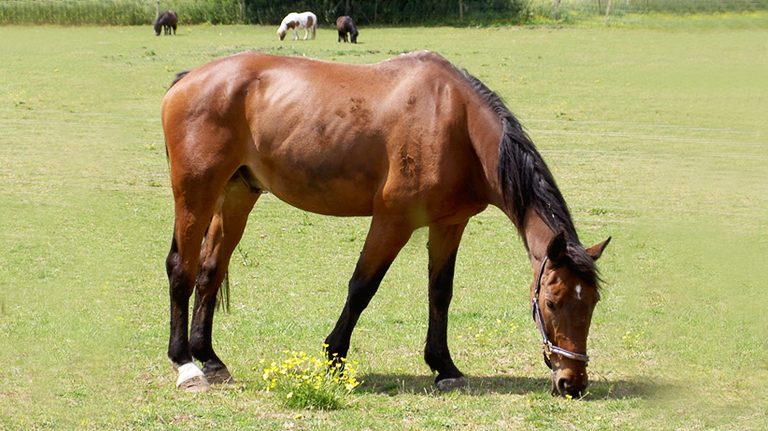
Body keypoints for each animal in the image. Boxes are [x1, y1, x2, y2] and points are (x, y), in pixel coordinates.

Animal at [161, 50, 611, 397]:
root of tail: (187, 80)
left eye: (590, 302)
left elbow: (440, 293)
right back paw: (186, 366)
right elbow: (362, 287)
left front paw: (444, 366)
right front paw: (335, 357)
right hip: (195, 195)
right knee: (181, 269)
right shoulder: (393, 221)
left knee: (210, 270)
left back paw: (210, 359)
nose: (573, 382)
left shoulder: (449, 225)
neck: (456, 123)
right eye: (551, 302)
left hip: (237, 195)